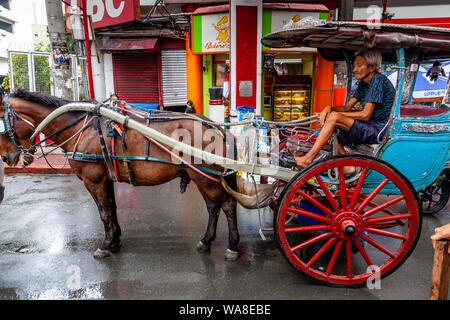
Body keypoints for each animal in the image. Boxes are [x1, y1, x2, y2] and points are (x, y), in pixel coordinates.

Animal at [0, 89, 241, 260]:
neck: (81, 129)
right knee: (213, 208)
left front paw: (105, 245)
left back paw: (232, 246)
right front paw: (114, 239)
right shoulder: (105, 178)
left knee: (228, 205)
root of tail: (214, 126)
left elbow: (104, 212)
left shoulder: (93, 179)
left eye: (1, 121)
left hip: (205, 177)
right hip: (203, 177)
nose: (5, 158)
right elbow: (111, 208)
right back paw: (206, 241)